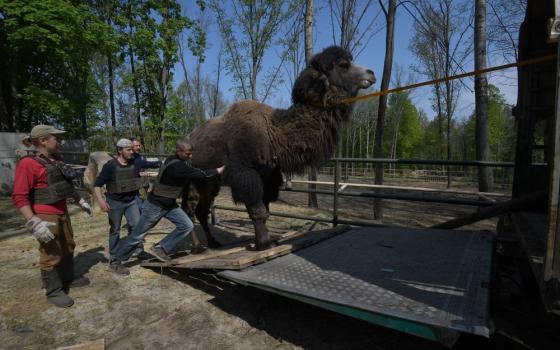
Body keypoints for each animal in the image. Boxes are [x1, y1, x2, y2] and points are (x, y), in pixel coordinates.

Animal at [184, 46, 376, 250]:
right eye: (343, 65)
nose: (371, 73)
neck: (274, 133)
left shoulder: (269, 176)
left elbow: (266, 210)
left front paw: (262, 241)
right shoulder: (246, 175)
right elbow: (258, 211)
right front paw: (264, 244)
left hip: (209, 183)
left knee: (199, 210)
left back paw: (212, 243)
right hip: (195, 181)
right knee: (189, 209)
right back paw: (197, 247)